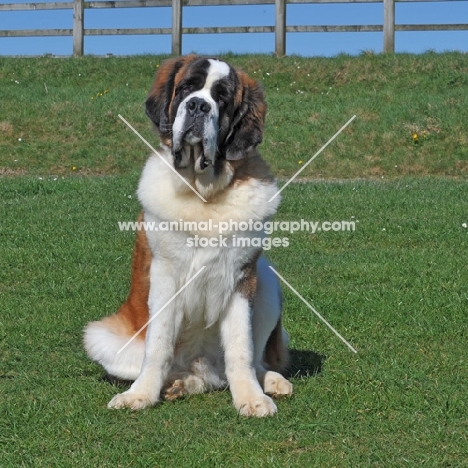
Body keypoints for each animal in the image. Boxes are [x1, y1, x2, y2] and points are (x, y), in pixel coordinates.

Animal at [82, 54, 290, 416]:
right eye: (186, 89)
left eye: (222, 98)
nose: (198, 106)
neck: (202, 192)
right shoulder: (165, 275)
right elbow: (159, 344)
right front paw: (141, 395)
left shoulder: (241, 277)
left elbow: (242, 347)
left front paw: (250, 398)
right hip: (103, 338)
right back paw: (176, 384)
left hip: (265, 276)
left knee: (244, 364)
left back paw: (268, 380)